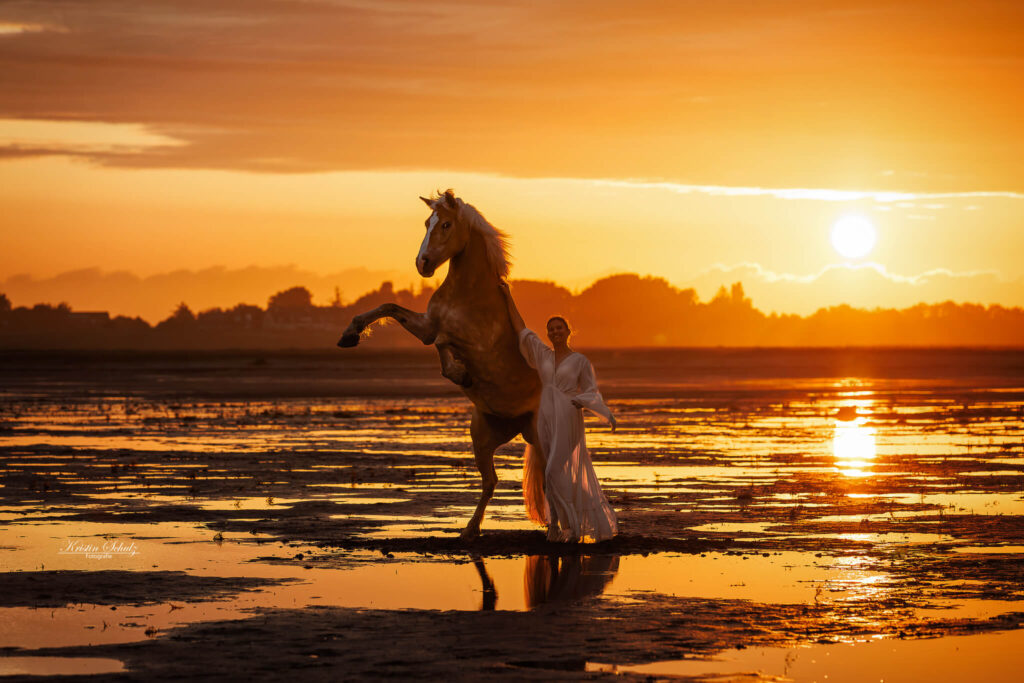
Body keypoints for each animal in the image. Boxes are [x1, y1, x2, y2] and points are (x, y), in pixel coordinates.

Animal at [337, 189, 545, 539]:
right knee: (491, 481)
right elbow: (389, 307)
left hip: (539, 434)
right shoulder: (427, 325)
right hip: (483, 436)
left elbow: (442, 344)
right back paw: (470, 530)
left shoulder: (470, 342)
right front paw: (349, 335)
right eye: (427, 222)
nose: (422, 263)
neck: (469, 295)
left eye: (446, 224)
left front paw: (461, 375)